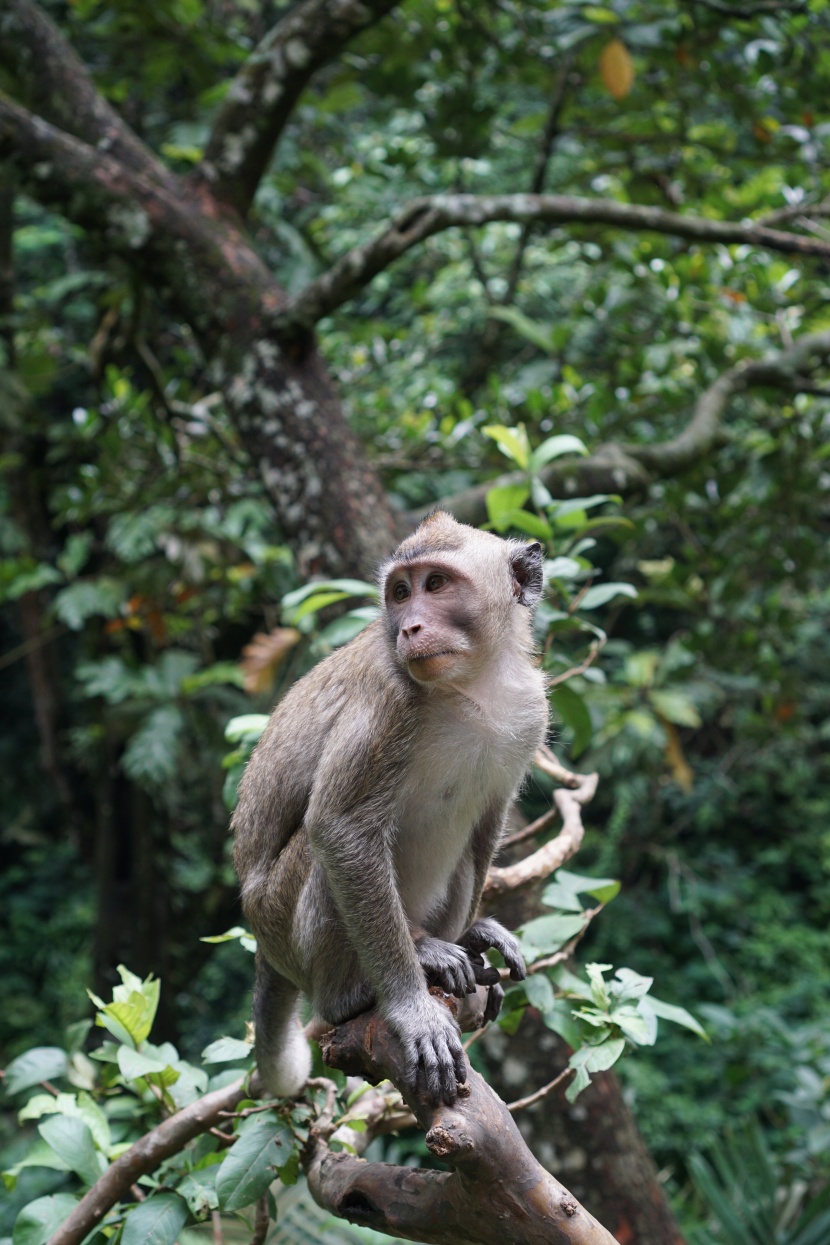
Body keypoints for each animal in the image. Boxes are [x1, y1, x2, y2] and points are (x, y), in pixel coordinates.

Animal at [230, 510, 547, 1105]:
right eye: (401, 593)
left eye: (436, 585)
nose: (410, 628)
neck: (470, 683)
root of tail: (263, 944)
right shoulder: (386, 696)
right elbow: (341, 829)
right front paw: (412, 1010)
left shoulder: (532, 712)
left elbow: (488, 825)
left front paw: (469, 936)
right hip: (284, 926)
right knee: (322, 853)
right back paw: (368, 984)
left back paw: (451, 941)